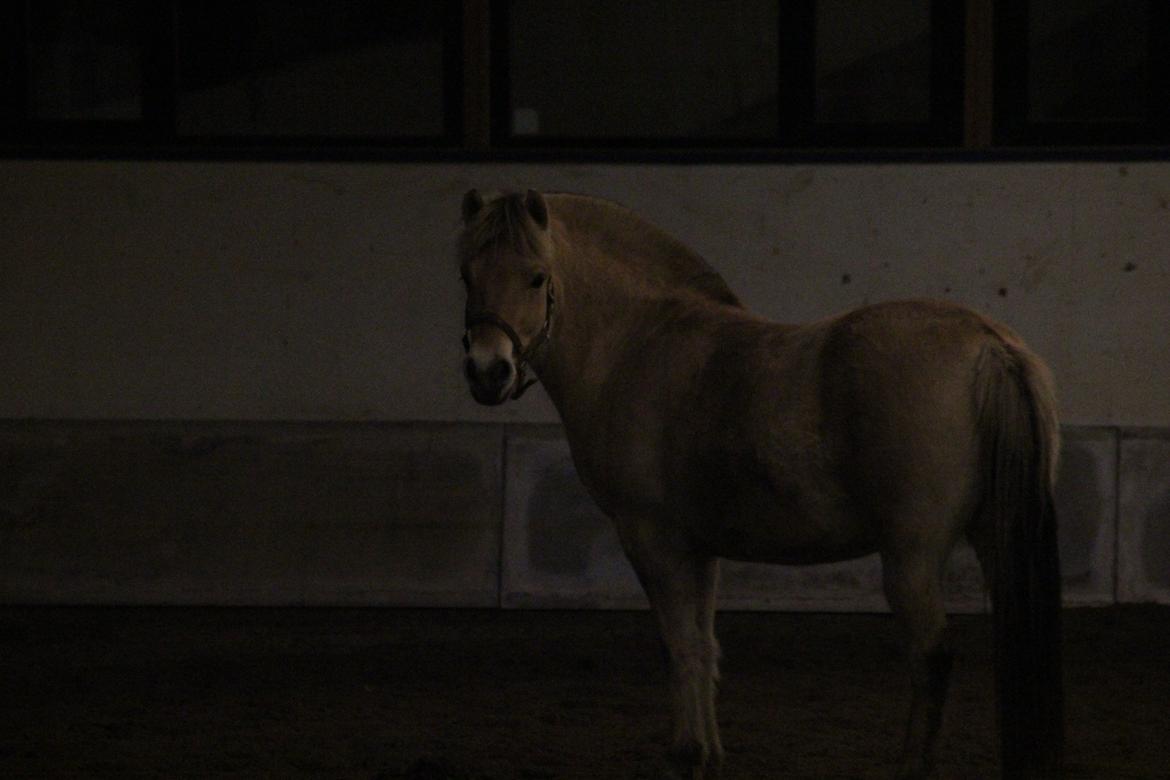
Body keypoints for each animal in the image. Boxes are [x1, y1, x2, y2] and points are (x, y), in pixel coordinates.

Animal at [460, 190, 1067, 780]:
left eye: (536, 276)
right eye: (467, 275)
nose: (489, 372)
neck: (635, 344)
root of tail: (989, 344)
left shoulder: (651, 539)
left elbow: (678, 645)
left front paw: (684, 754)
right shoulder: (698, 549)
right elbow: (703, 644)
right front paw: (705, 753)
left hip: (911, 558)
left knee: (932, 659)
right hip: (992, 537)